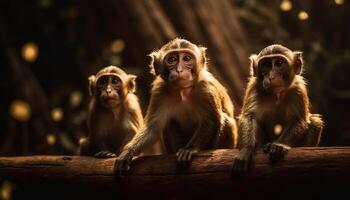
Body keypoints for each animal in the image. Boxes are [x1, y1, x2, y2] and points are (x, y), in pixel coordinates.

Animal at [115, 38, 238, 175]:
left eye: (187, 58)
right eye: (172, 59)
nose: (179, 69)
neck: (182, 91)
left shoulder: (206, 87)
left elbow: (211, 120)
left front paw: (189, 149)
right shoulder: (159, 91)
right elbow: (153, 128)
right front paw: (128, 152)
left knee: (226, 120)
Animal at [231, 44, 324, 173]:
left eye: (279, 63)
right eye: (266, 64)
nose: (271, 76)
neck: (276, 95)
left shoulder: (298, 89)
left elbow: (299, 120)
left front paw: (280, 145)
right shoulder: (254, 87)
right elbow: (249, 117)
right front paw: (246, 149)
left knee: (315, 121)